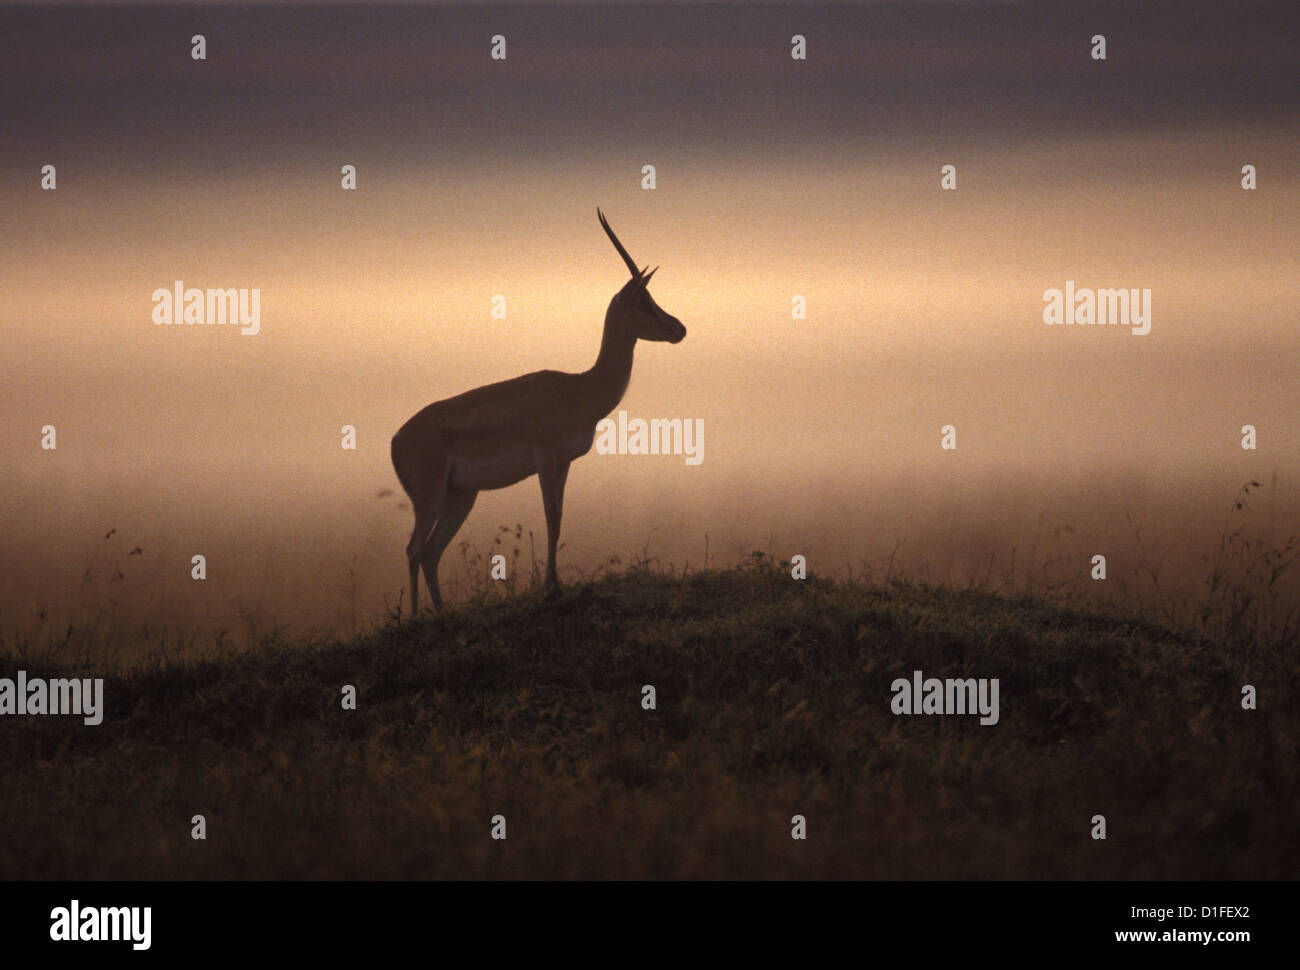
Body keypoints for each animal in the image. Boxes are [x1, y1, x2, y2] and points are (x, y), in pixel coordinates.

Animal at [391, 208, 686, 613]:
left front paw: (555, 586)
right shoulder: (546, 459)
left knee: (431, 552)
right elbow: (550, 515)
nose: (679, 328)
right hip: (430, 499)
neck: (580, 388)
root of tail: (395, 440)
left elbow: (559, 518)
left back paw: (440, 613)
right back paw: (417, 617)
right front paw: (551, 589)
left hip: (461, 496)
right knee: (413, 549)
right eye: (644, 303)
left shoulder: (564, 463)